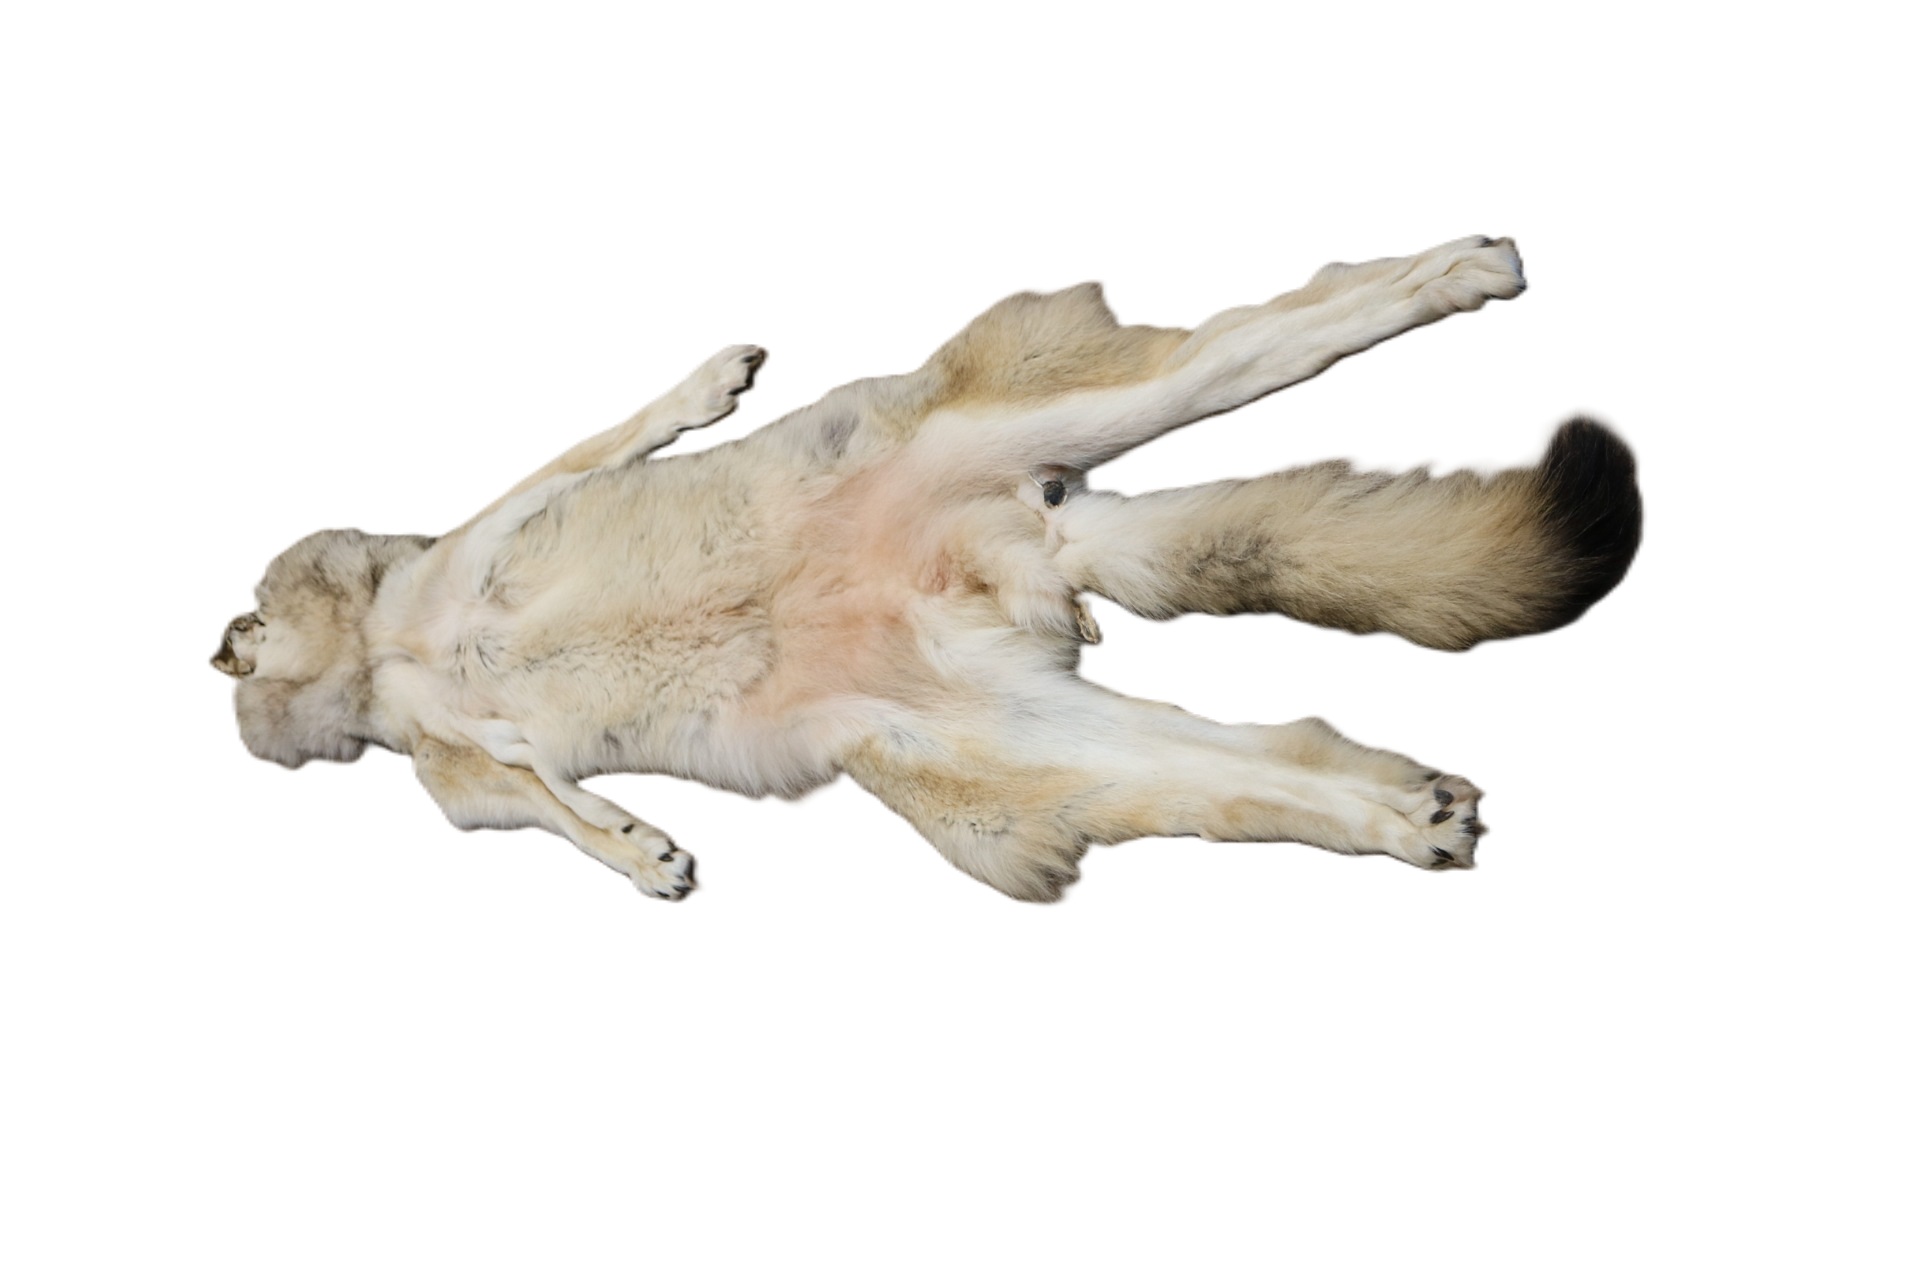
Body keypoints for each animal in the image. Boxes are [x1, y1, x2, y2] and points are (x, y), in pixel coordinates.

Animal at [212, 235, 1640, 902]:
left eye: (257, 614)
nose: (215, 644)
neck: (383, 646)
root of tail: (1024, 549)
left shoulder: (486, 530)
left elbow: (612, 433)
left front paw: (710, 382)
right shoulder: (458, 774)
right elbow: (550, 804)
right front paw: (641, 846)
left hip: (1057, 420)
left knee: (1291, 325)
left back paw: (1461, 269)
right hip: (1002, 751)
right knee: (1267, 768)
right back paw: (1414, 815)